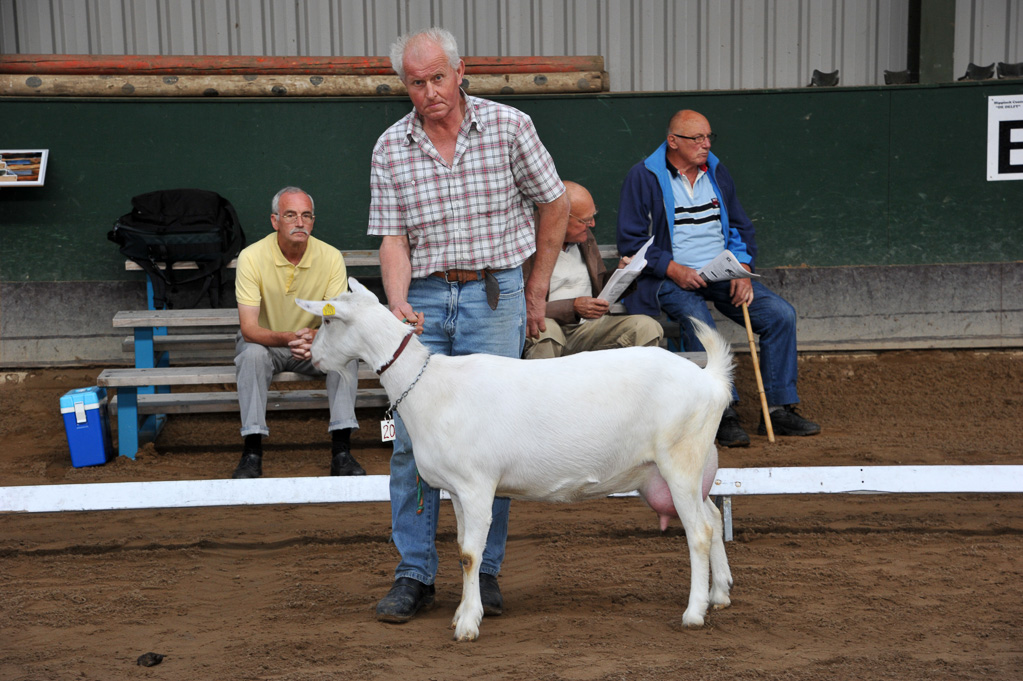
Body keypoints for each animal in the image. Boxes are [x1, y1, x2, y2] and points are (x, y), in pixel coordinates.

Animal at [296, 276, 736, 638]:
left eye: (329, 322)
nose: (310, 358)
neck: (429, 386)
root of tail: (710, 379)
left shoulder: (476, 485)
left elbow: (471, 555)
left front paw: (468, 625)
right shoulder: (457, 490)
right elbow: (462, 550)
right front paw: (463, 613)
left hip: (680, 459)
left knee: (699, 532)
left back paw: (694, 613)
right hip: (688, 467)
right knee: (713, 517)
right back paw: (720, 594)